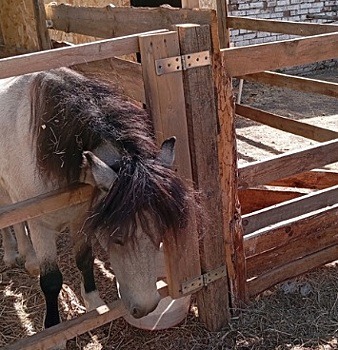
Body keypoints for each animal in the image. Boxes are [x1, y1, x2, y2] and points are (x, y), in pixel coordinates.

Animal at [0, 67, 195, 334]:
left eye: (159, 234)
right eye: (117, 238)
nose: (146, 308)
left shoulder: (82, 218)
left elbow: (84, 260)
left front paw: (94, 304)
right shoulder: (41, 226)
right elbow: (51, 280)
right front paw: (53, 329)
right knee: (13, 219)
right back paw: (15, 255)